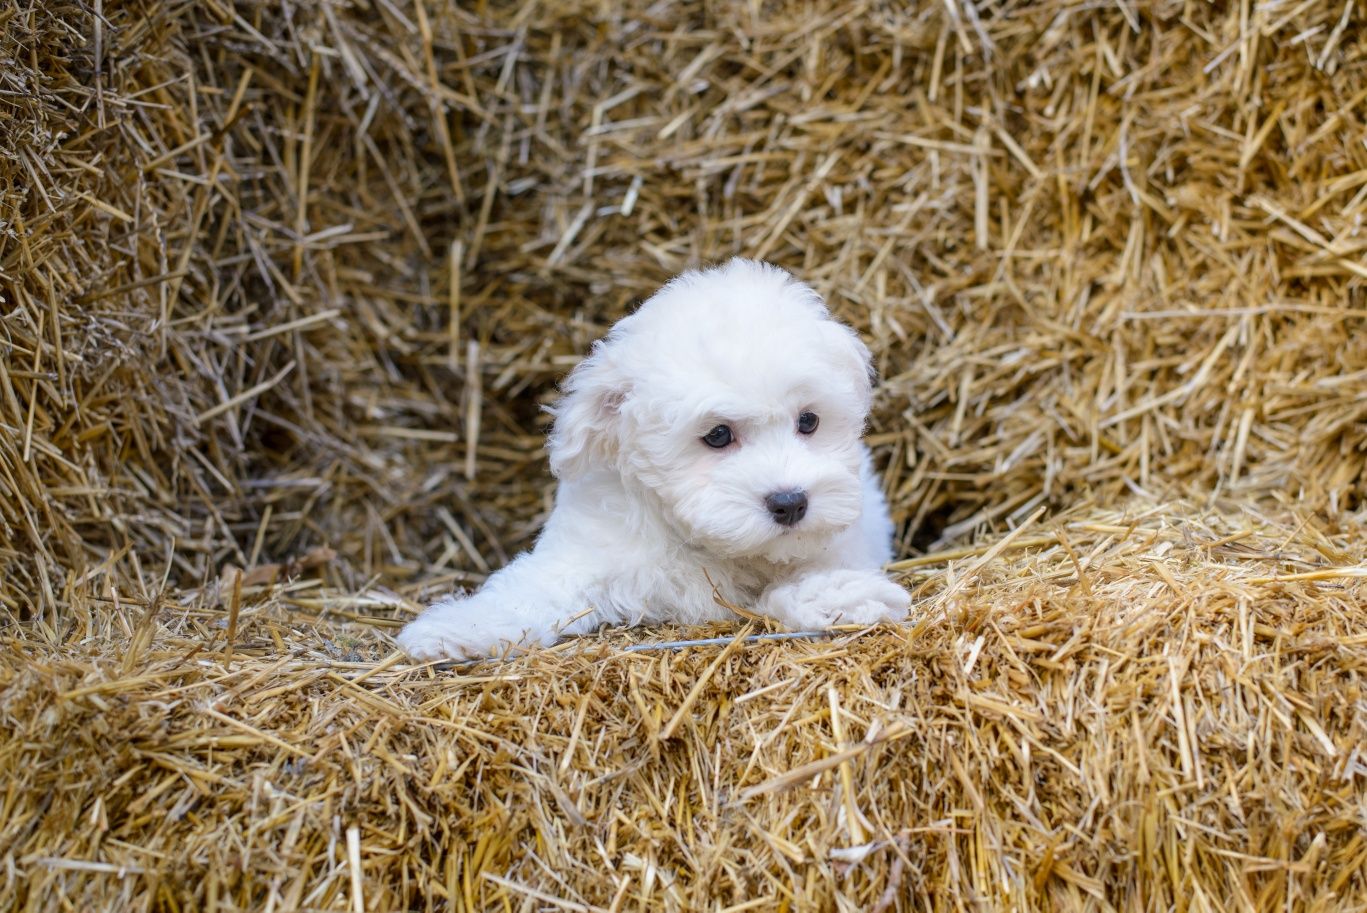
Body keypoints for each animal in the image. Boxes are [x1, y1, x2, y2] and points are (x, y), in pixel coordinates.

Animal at [396, 256, 907, 656]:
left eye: (809, 422)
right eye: (717, 435)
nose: (790, 503)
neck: (709, 544)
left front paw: (843, 596)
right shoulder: (591, 548)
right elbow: (536, 587)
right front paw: (461, 628)